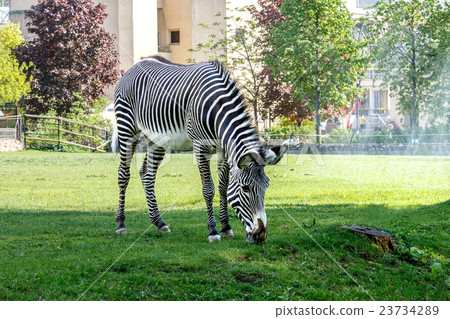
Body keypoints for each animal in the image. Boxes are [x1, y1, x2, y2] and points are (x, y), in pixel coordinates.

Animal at [113, 56, 288, 244]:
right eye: (245, 188)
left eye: (266, 185)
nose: (260, 235)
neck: (217, 112)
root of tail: (134, 67)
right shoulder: (200, 147)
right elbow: (208, 189)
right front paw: (213, 231)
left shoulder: (223, 150)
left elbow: (223, 187)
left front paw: (226, 228)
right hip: (127, 128)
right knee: (123, 175)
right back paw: (121, 224)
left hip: (156, 139)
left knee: (147, 175)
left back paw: (159, 223)